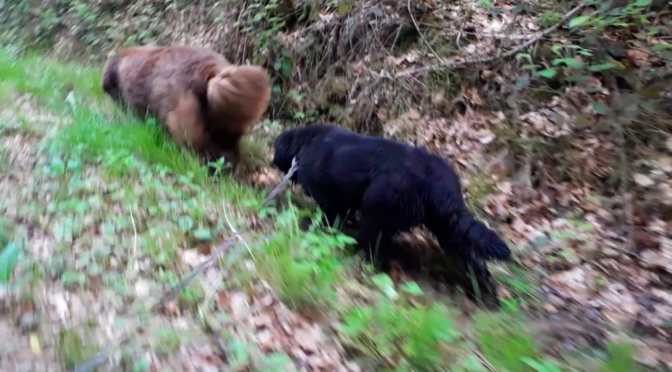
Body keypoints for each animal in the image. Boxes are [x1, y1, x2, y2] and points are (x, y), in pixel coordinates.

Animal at [272, 126, 510, 300]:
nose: (272, 159)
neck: (306, 143)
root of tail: (439, 185)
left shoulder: (330, 201)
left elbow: (332, 220)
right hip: (448, 228)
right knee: (473, 258)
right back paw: (484, 291)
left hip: (377, 212)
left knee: (372, 244)